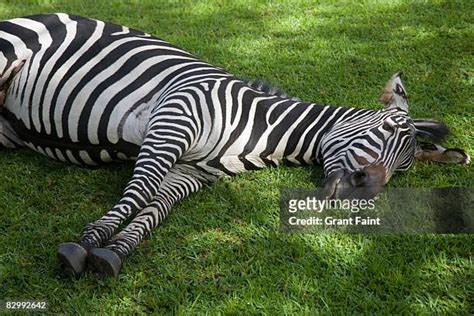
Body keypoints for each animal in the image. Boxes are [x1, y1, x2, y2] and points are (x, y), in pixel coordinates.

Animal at [0, 13, 468, 278]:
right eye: (387, 127)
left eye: (402, 171)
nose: (363, 190)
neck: (258, 129)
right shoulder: (173, 119)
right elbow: (140, 190)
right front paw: (88, 240)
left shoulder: (194, 171)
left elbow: (154, 208)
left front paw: (114, 251)